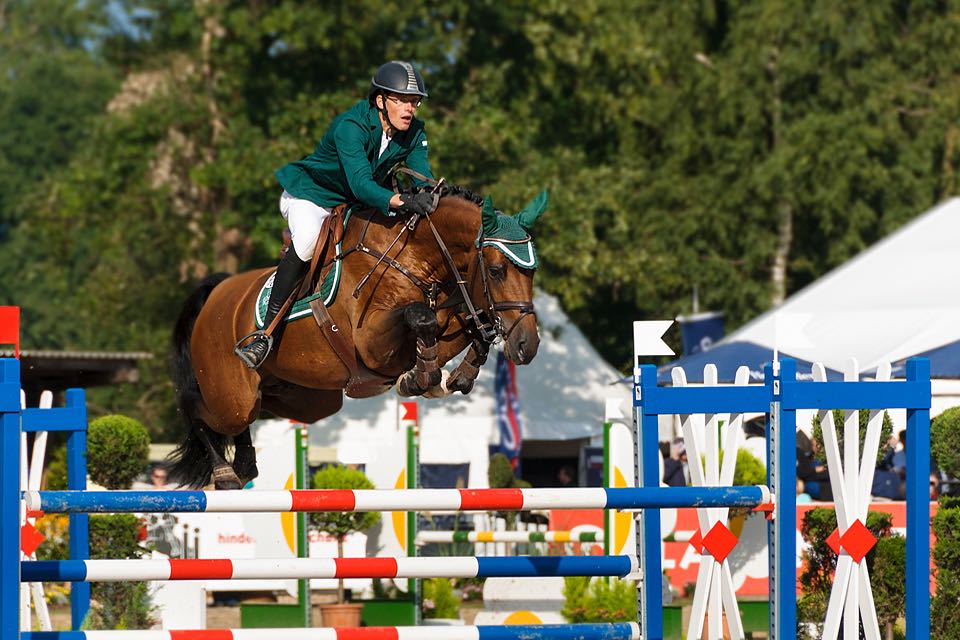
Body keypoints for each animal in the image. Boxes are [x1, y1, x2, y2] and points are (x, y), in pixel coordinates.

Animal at [167, 185, 548, 490]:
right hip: (231, 395)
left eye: (533, 272)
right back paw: (225, 471)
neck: (413, 256)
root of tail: (217, 292)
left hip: (304, 398)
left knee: (254, 412)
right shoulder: (371, 344)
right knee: (200, 409)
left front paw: (455, 376)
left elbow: (470, 325)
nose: (527, 346)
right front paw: (421, 377)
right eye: (497, 271)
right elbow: (419, 316)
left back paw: (245, 463)